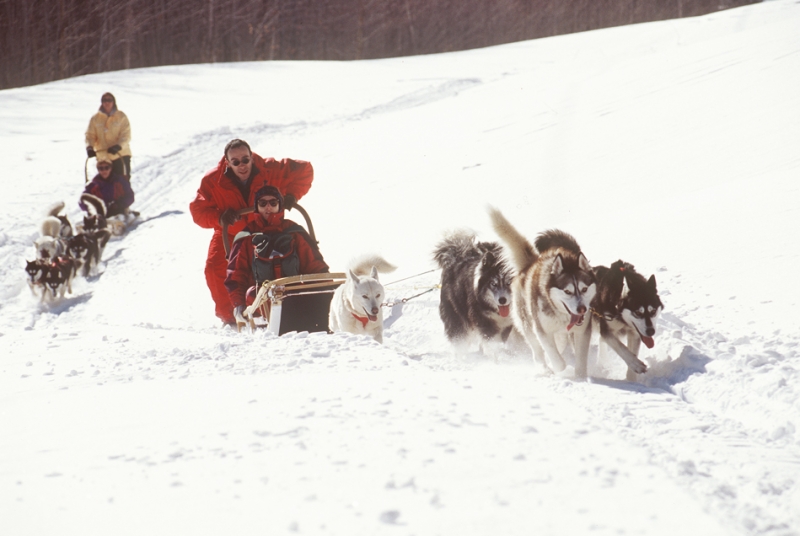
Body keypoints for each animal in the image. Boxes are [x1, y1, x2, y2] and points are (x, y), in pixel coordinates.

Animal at [489, 207, 596, 376]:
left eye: (584, 289)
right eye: (567, 291)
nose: (582, 309)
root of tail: (530, 265)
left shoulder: (582, 331)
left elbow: (580, 359)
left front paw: (580, 375)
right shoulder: (542, 331)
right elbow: (557, 360)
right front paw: (557, 367)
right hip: (527, 325)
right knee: (537, 351)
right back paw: (543, 367)